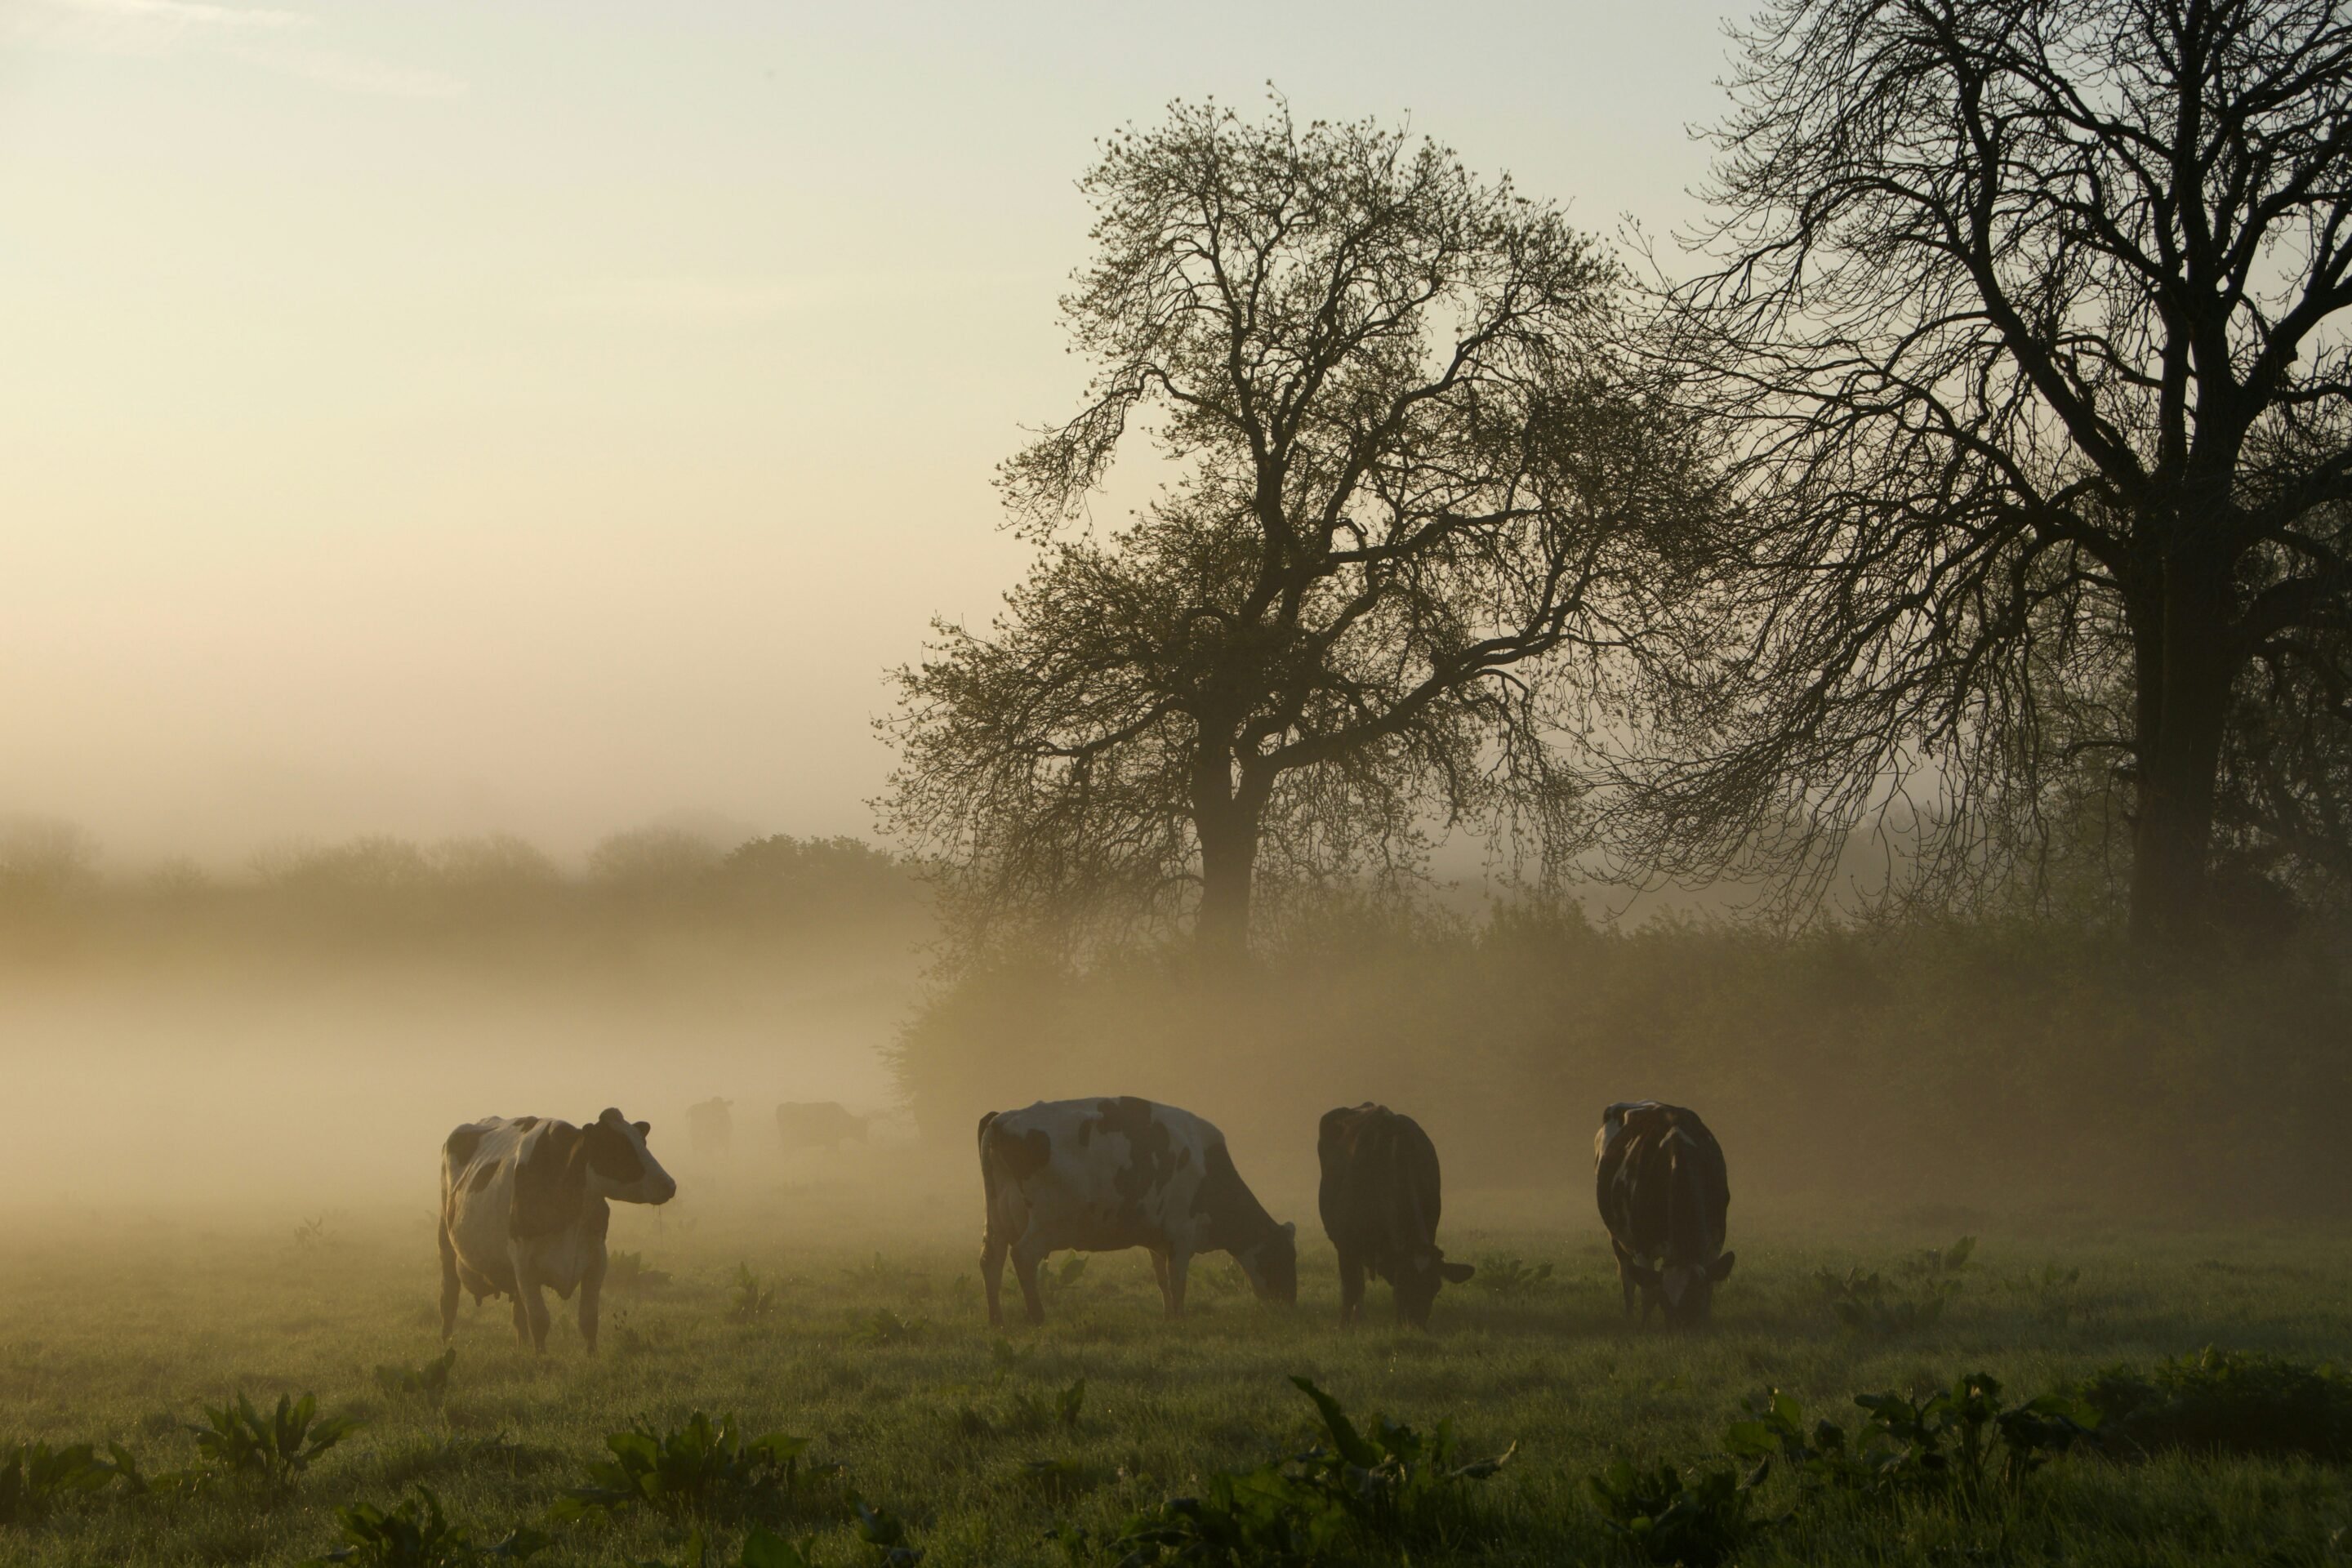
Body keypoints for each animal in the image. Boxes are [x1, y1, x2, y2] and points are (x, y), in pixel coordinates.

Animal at [437, 1109, 677, 1354]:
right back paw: (446, 1342)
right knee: (449, 1298)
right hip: (446, 1241)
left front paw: (592, 1356)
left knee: (519, 1312)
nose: (669, 1185)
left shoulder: (597, 1258)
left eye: (643, 1141)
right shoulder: (524, 1262)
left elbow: (588, 1318)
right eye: (616, 1146)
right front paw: (541, 1357)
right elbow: (540, 1320)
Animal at [978, 1100, 1307, 1335]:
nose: (1290, 1303)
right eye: (1284, 1257)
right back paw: (1037, 1317)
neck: (1207, 1169)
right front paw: (1180, 1319)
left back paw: (997, 1321)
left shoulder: (1158, 1239)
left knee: (991, 1261)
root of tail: (1001, 1118)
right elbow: (1177, 1281)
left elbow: (1162, 1279)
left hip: (996, 1221)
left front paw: (1167, 1317)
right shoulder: (1181, 1235)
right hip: (1046, 1223)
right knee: (1022, 1256)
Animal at [1307, 1104, 1468, 1325]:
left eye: (1435, 1287)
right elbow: (1350, 1288)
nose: (1415, 1326)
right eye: (1401, 1285)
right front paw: (1345, 1325)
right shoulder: (1346, 1243)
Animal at [1589, 1100, 1740, 1335]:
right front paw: (1644, 1326)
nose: (1683, 1334)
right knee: (1627, 1279)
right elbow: (1648, 1292)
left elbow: (1711, 1286)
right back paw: (1630, 1318)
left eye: (1695, 1298)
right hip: (1616, 1236)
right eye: (1666, 1303)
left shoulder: (1716, 1240)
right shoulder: (1643, 1245)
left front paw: (1706, 1323)